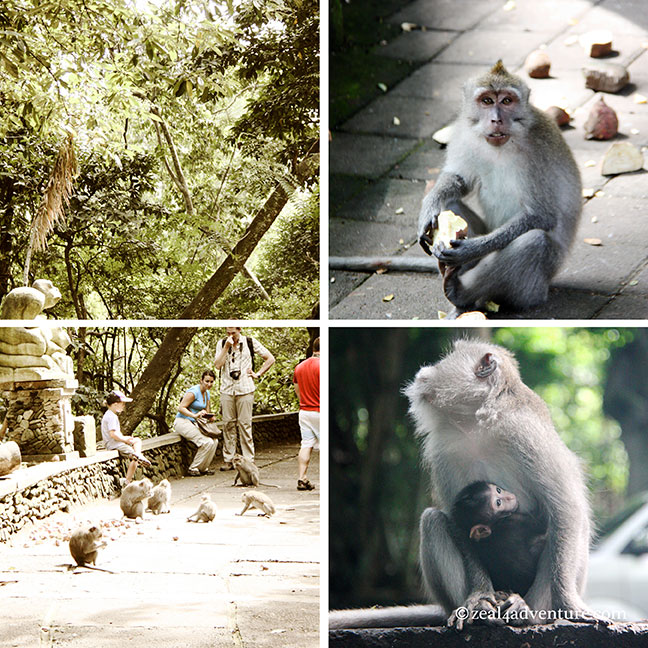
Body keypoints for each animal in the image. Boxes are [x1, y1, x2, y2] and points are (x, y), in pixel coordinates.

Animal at [417, 61, 581, 318]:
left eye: (506, 101)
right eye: (486, 101)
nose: (496, 120)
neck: (505, 143)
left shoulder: (537, 152)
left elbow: (541, 215)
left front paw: (471, 249)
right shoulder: (463, 133)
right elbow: (458, 179)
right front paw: (428, 210)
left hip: (534, 287)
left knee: (534, 242)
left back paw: (460, 294)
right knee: (450, 203)